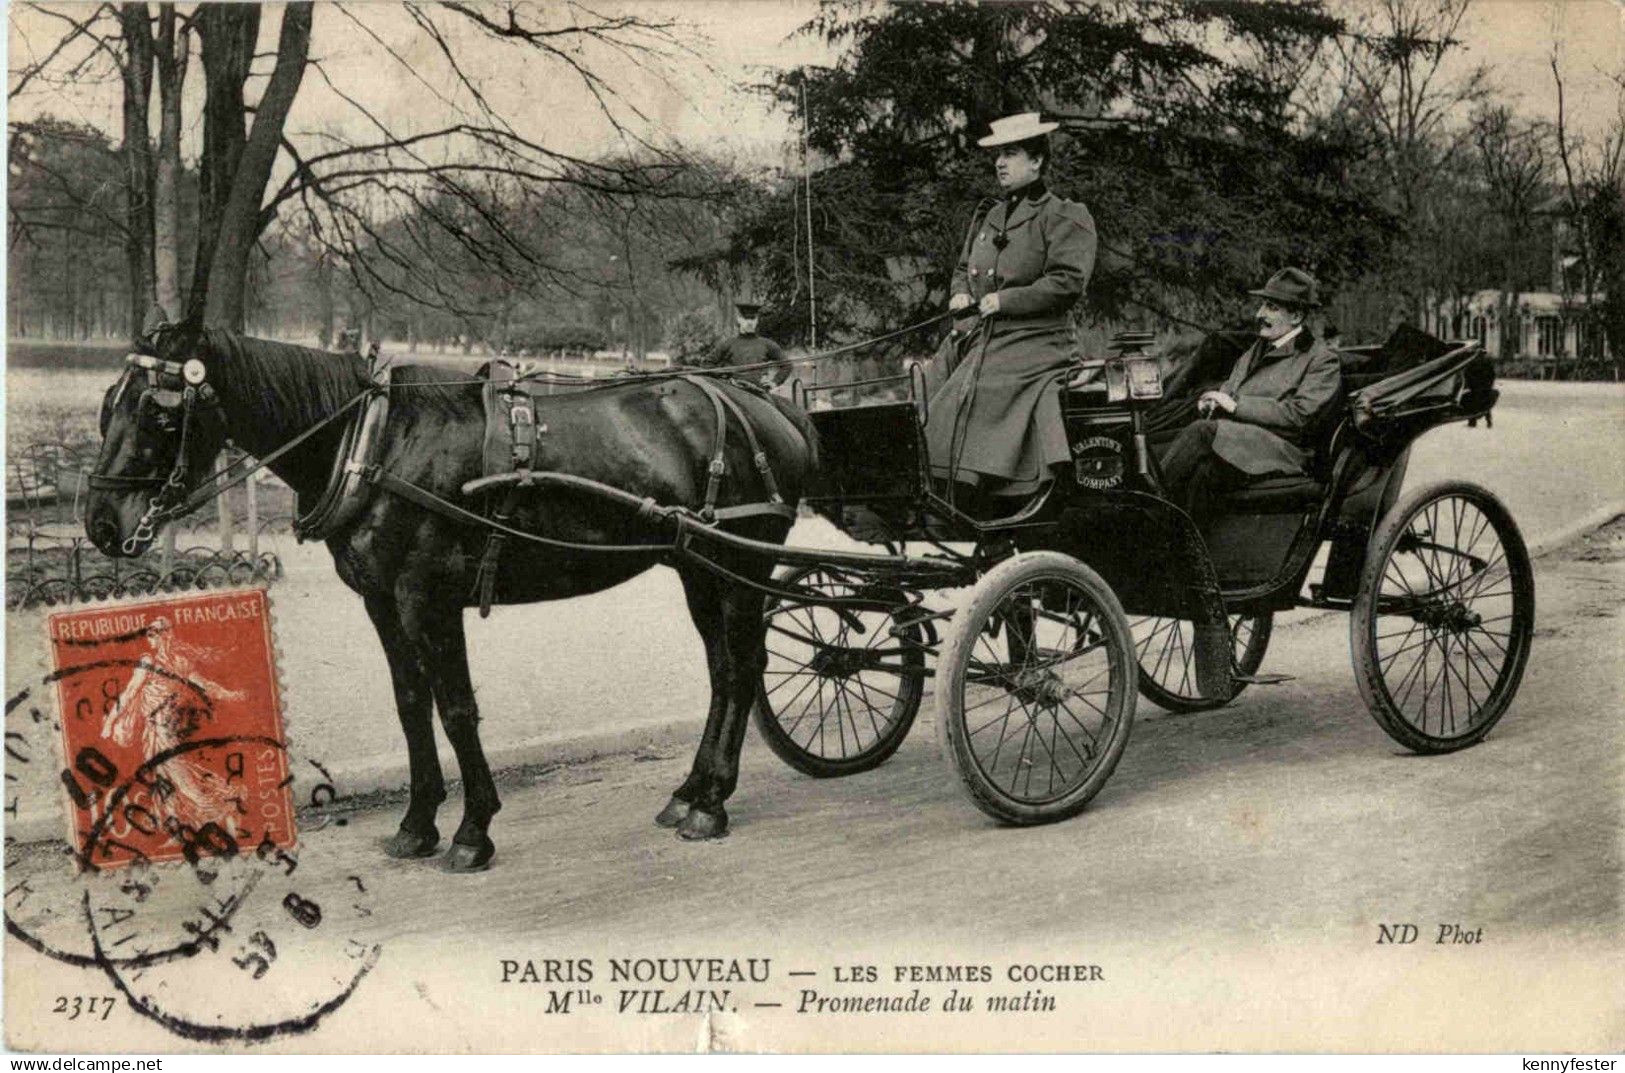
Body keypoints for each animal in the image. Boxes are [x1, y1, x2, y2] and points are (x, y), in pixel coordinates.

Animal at [84, 320, 819, 871]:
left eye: (155, 410)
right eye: (107, 404)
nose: (101, 524)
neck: (376, 441)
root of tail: (769, 406)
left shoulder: (427, 599)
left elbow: (457, 708)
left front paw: (472, 830)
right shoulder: (382, 602)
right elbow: (412, 704)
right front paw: (416, 823)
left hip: (738, 563)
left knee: (742, 667)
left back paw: (713, 804)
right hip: (697, 567)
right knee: (723, 671)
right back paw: (692, 791)